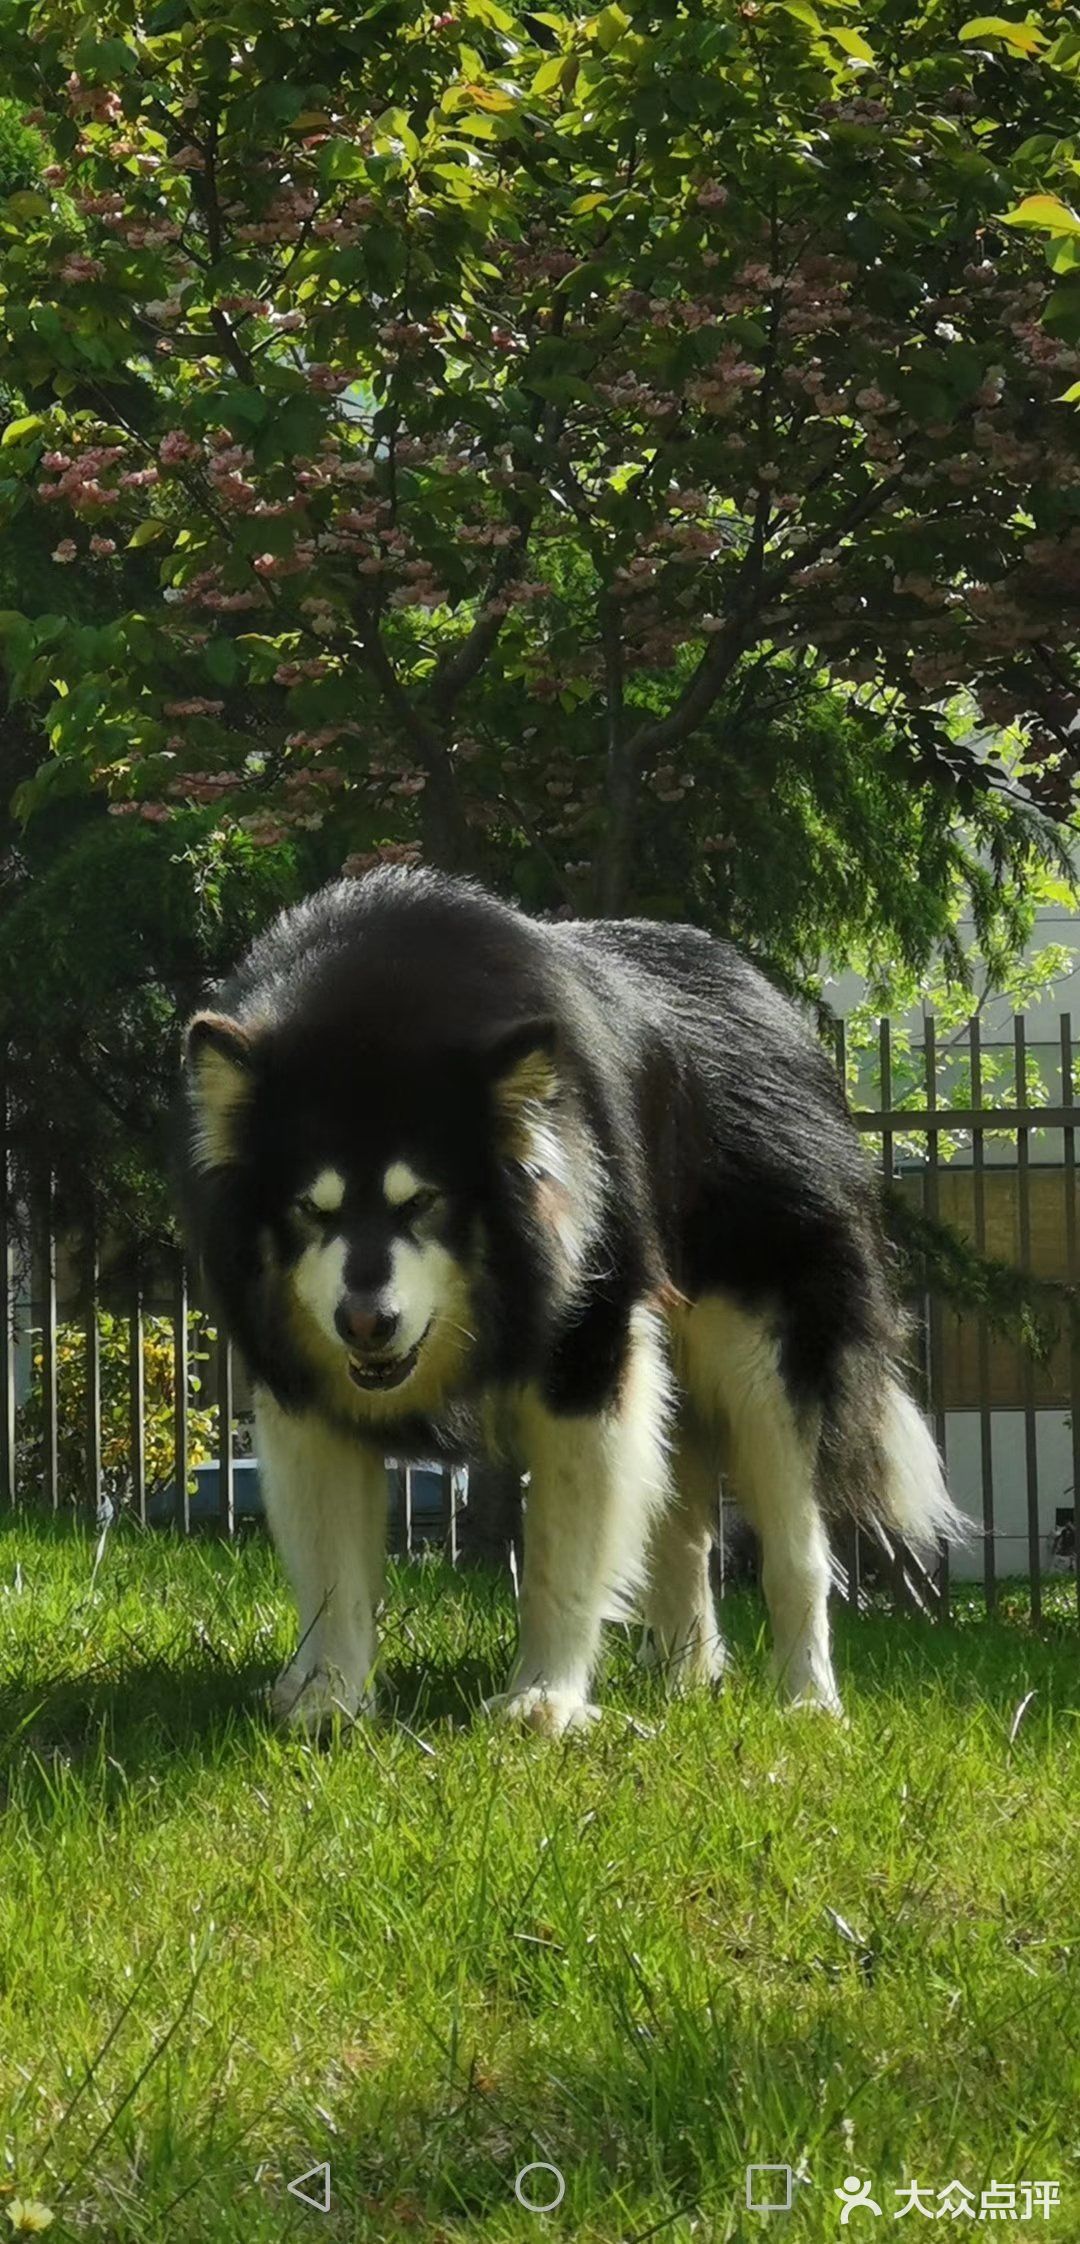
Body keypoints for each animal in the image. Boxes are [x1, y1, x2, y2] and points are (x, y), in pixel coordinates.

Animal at [177, 861, 960, 1732]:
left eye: (424, 1203)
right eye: (311, 1211)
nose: (365, 1324)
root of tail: (776, 1006)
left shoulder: (589, 1358)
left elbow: (561, 1556)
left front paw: (543, 1700)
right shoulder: (304, 1389)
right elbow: (333, 1573)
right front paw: (326, 1701)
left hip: (760, 1359)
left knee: (798, 1550)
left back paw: (807, 1701)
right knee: (682, 1532)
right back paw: (684, 1679)